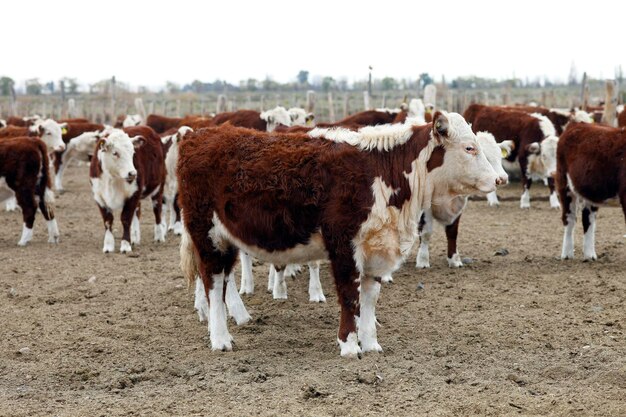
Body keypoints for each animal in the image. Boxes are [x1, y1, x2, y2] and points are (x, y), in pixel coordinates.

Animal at [177, 112, 498, 356]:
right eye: (469, 148)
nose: (498, 179)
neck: (381, 172)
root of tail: (201, 134)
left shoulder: (376, 247)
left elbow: (369, 298)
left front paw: (371, 344)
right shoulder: (344, 243)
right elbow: (349, 295)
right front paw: (349, 346)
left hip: (226, 236)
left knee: (224, 280)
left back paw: (235, 320)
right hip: (206, 233)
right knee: (212, 280)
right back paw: (220, 339)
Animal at [556, 122, 624, 260]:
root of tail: (577, 124)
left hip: (591, 191)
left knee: (588, 219)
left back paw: (589, 255)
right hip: (564, 184)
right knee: (569, 219)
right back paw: (567, 254)